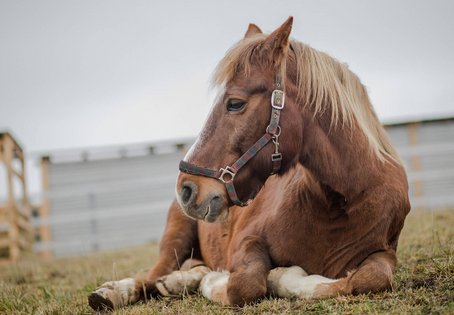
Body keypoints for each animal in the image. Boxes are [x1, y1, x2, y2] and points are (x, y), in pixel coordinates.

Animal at [88, 17, 412, 312]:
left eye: (235, 103)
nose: (187, 189)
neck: (339, 202)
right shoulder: (247, 240)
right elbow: (245, 284)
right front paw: (231, 280)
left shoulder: (384, 252)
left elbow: (371, 278)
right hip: (175, 237)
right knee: (151, 275)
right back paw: (115, 292)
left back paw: (182, 281)